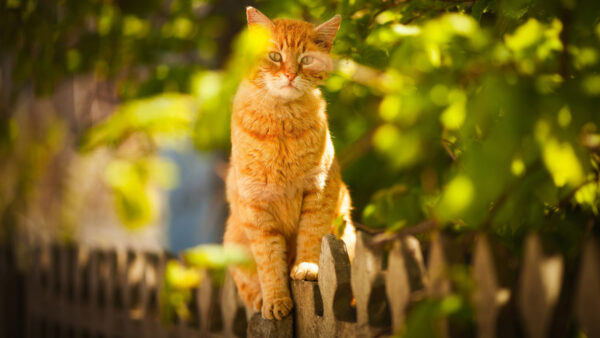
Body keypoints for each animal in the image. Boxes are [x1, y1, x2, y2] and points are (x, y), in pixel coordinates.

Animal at [224, 7, 356, 320]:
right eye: (275, 56)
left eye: (306, 59)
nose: (290, 74)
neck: (281, 120)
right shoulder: (256, 206)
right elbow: (269, 261)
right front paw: (275, 300)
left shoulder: (318, 190)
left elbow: (311, 235)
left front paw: (306, 267)